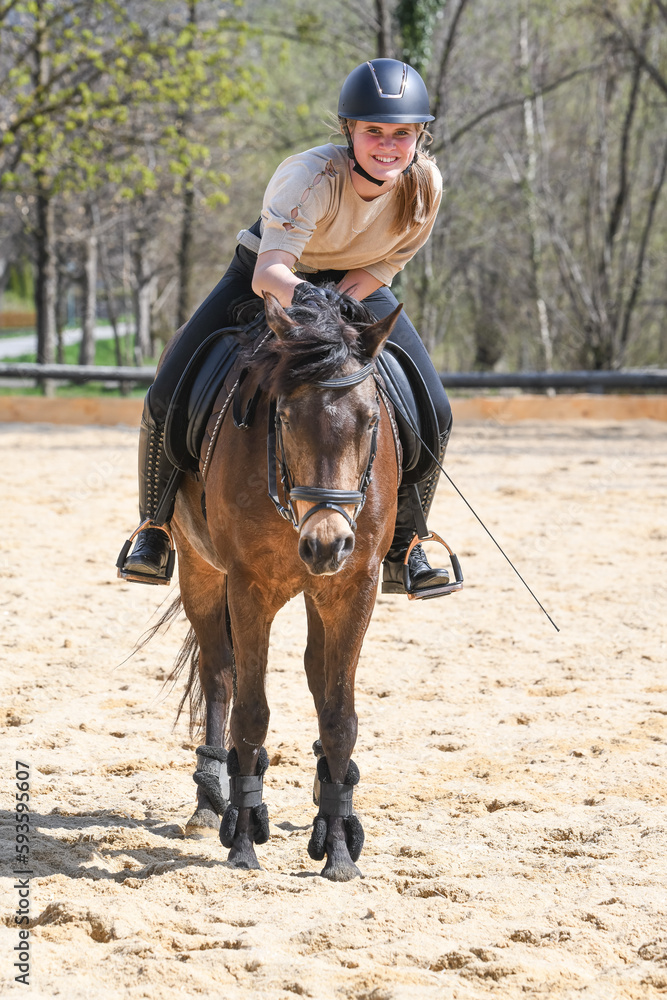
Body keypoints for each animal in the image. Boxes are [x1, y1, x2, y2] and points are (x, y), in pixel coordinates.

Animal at [167, 288, 403, 881]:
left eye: (371, 420)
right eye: (287, 417)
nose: (326, 545)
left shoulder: (353, 588)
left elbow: (340, 716)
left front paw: (339, 848)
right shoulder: (248, 587)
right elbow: (251, 712)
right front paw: (243, 839)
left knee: (317, 676)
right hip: (200, 570)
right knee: (218, 674)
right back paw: (211, 802)